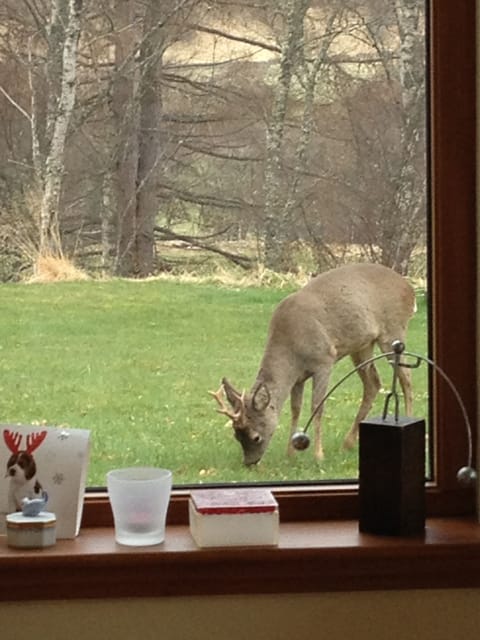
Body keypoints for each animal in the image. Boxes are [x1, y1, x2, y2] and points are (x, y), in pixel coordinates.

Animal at [209, 262, 416, 466]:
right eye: (236, 435)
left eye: (256, 437)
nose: (249, 463)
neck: (291, 347)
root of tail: (409, 289)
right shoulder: (298, 377)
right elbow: (295, 409)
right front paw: (290, 454)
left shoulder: (324, 359)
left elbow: (317, 406)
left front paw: (318, 456)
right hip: (362, 345)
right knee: (373, 383)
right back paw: (348, 443)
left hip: (393, 330)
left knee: (406, 380)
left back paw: (407, 420)